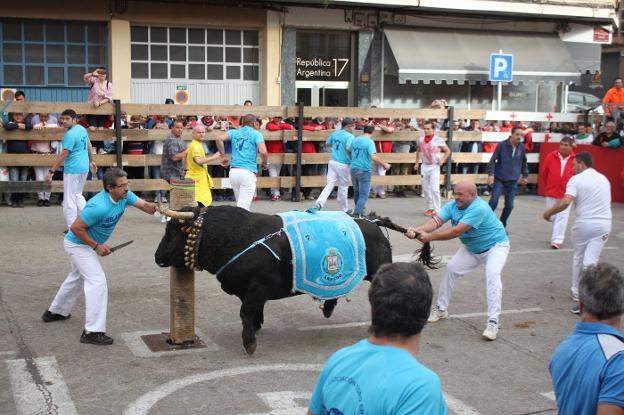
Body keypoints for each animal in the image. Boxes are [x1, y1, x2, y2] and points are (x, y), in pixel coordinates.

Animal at [155, 206, 434, 356]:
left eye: (173, 232)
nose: (157, 257)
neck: (239, 236)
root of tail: (372, 221)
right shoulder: (253, 290)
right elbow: (254, 312)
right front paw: (256, 327)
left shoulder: (256, 287)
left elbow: (246, 312)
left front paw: (249, 342)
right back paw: (329, 307)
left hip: (378, 272)